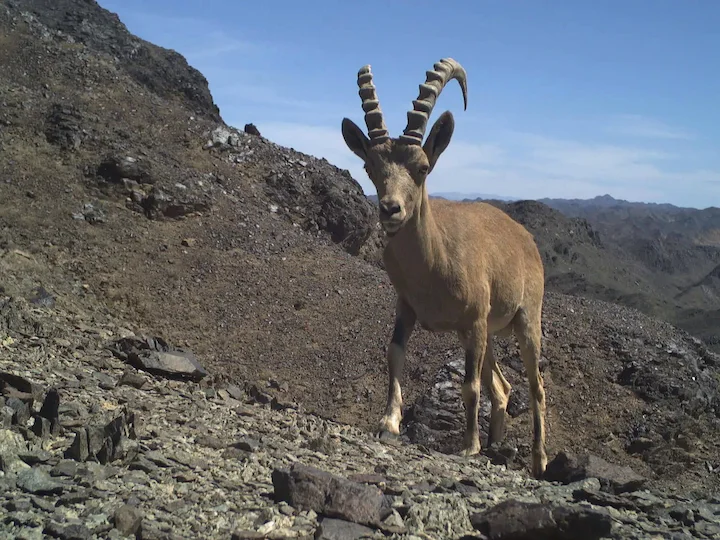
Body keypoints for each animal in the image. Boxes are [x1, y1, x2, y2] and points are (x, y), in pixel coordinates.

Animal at [341, 58, 548, 477]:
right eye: (370, 166)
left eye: (422, 167)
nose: (390, 209)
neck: (433, 264)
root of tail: (527, 241)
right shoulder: (407, 307)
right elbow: (394, 354)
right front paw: (389, 423)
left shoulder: (474, 320)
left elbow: (469, 387)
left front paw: (468, 446)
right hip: (485, 336)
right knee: (502, 388)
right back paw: (496, 444)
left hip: (523, 320)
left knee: (535, 387)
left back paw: (538, 459)